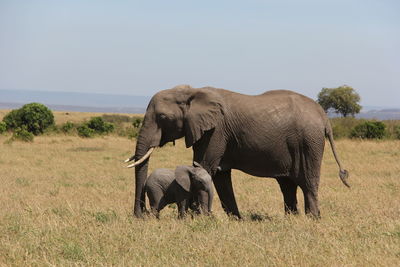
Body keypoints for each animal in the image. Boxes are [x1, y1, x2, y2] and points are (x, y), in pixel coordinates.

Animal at [126, 85, 348, 220]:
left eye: (162, 117)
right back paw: (291, 218)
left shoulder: (215, 131)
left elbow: (205, 167)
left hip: (309, 143)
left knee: (307, 182)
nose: (140, 215)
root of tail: (324, 116)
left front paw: (195, 217)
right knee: (287, 184)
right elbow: (220, 176)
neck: (192, 92)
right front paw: (236, 220)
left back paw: (312, 219)